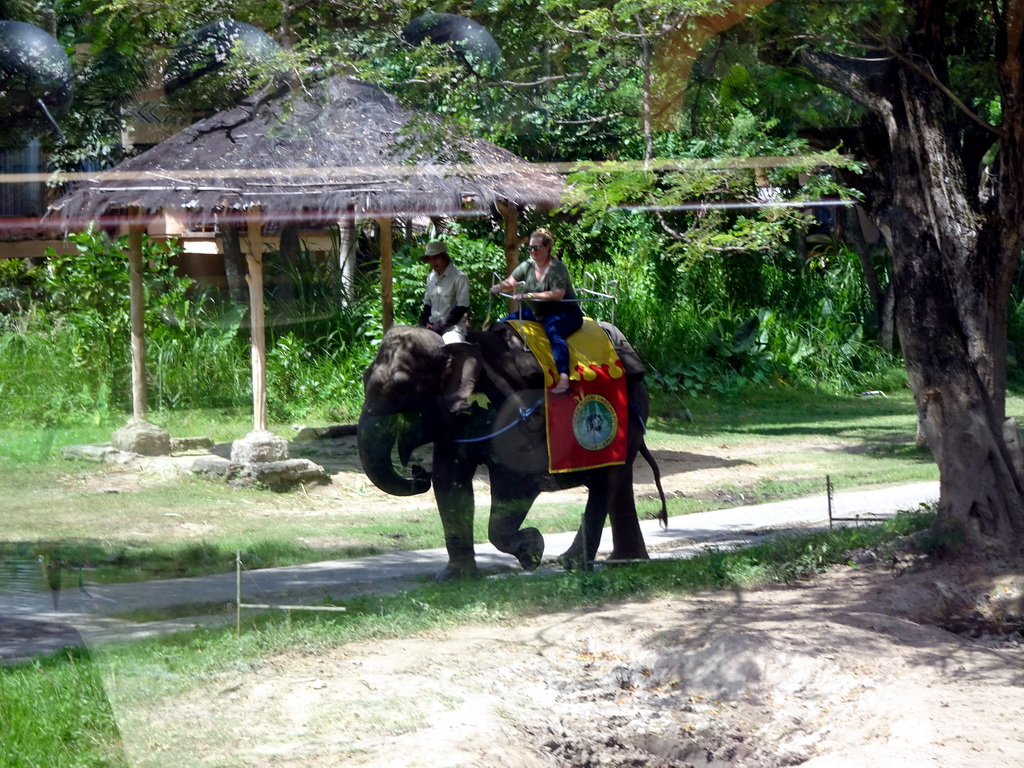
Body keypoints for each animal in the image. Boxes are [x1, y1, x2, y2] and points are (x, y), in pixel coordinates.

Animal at [356, 321, 667, 581]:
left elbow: (515, 482)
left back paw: (573, 564)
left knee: (605, 484)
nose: (418, 472)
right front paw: (453, 578)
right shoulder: (459, 420)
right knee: (617, 480)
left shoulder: (511, 416)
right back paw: (626, 561)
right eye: (364, 378)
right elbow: (449, 480)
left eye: (401, 389)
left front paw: (533, 550)